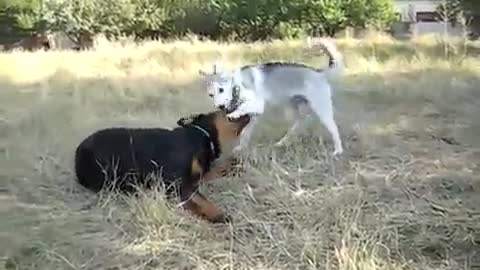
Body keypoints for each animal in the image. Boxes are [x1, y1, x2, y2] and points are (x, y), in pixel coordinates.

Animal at [75, 109, 251, 224]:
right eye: (225, 108)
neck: (203, 135)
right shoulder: (176, 184)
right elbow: (200, 199)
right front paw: (218, 214)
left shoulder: (196, 176)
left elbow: (212, 171)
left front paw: (233, 165)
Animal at [199, 38, 344, 156]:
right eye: (211, 95)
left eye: (221, 90)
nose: (220, 106)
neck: (237, 85)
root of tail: (319, 73)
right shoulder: (254, 116)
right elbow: (245, 132)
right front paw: (241, 147)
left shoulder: (258, 104)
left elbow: (242, 108)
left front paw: (234, 114)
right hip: (292, 109)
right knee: (299, 124)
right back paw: (283, 142)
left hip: (322, 110)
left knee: (333, 129)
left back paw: (338, 150)